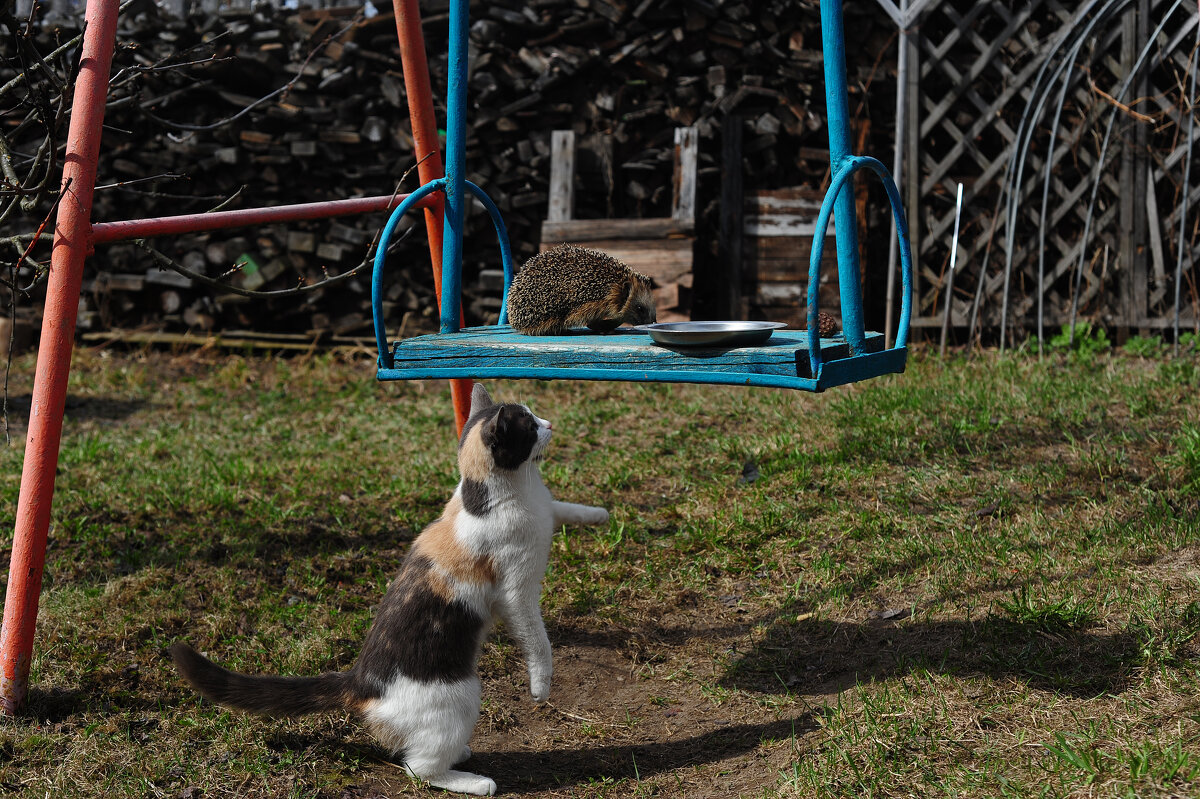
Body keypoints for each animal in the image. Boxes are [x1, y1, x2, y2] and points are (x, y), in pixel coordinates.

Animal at [171, 383, 609, 791]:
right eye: (529, 427)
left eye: (535, 416)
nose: (551, 425)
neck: (486, 495)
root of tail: (359, 679)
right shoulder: (516, 592)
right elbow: (537, 640)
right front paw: (541, 687)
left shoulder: (545, 509)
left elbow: (563, 508)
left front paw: (599, 513)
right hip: (463, 695)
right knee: (419, 769)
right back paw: (470, 779)